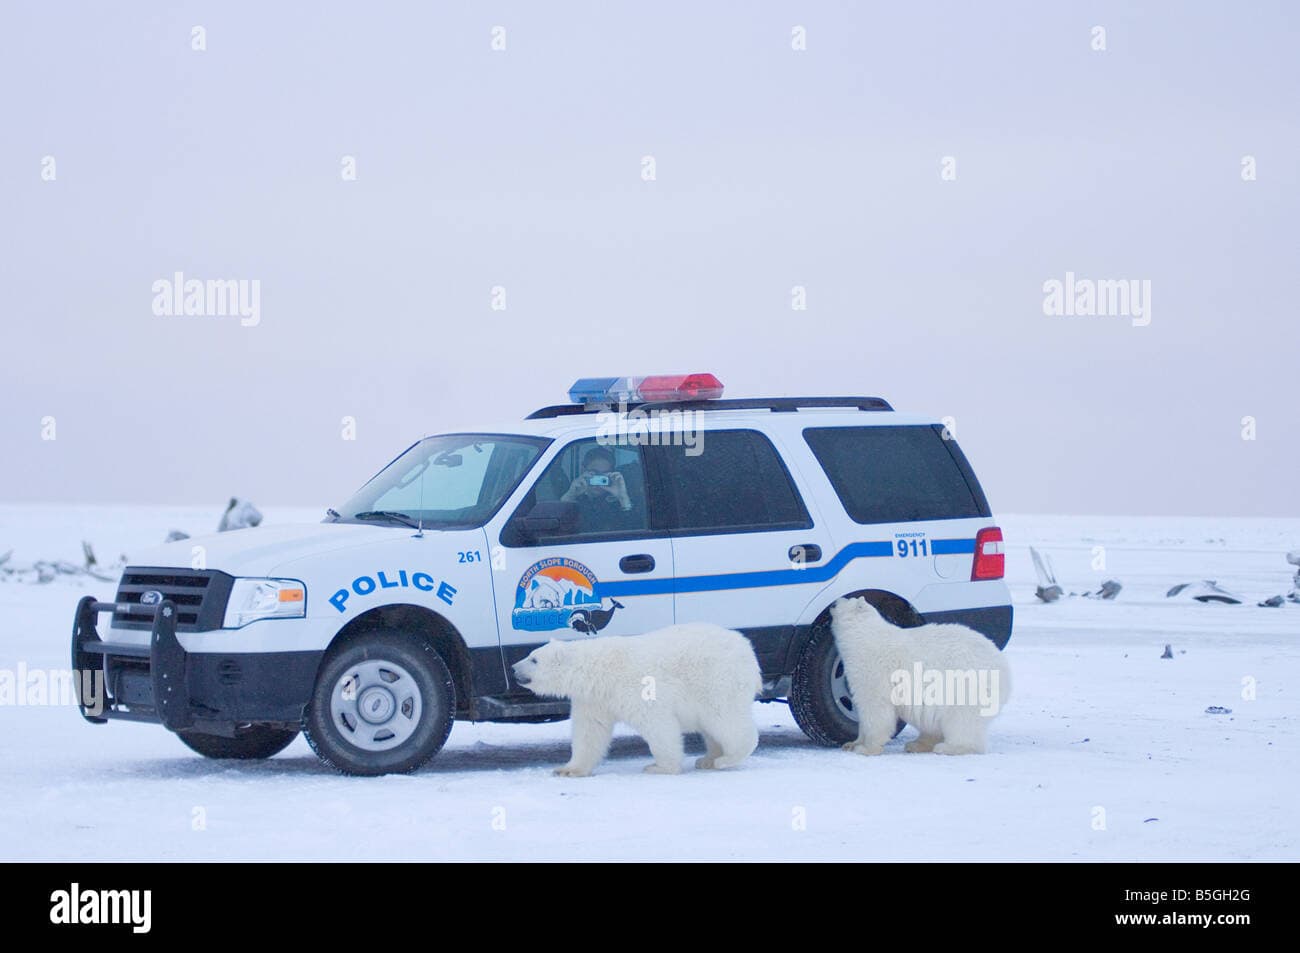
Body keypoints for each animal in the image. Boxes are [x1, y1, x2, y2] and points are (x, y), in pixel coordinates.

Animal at [512, 623, 762, 776]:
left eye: (534, 659)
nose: (514, 668)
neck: (598, 670)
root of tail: (747, 649)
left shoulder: (636, 688)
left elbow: (658, 725)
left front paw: (659, 767)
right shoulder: (593, 699)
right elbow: (589, 732)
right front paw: (567, 769)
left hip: (717, 680)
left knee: (726, 720)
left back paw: (725, 759)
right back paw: (708, 759)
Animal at [829, 597, 1010, 756]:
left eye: (846, 599)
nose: (833, 602)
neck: (864, 636)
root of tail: (1004, 666)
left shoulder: (873, 668)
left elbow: (876, 707)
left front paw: (866, 748)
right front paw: (852, 744)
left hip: (967, 684)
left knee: (962, 720)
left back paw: (949, 747)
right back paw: (916, 744)